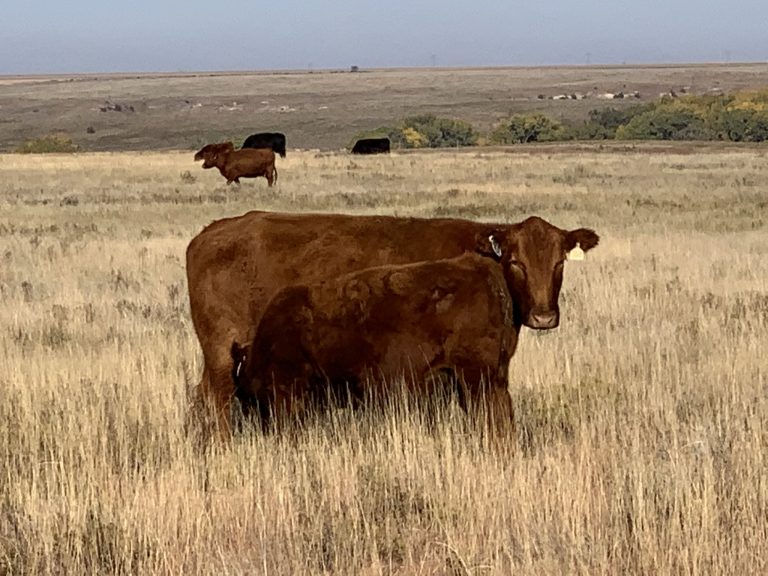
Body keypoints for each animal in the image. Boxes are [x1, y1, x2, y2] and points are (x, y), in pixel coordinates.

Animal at [229, 253, 519, 434]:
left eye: (246, 387)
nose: (245, 411)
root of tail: (483, 269)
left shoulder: (287, 391)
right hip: (492, 380)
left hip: (476, 380)